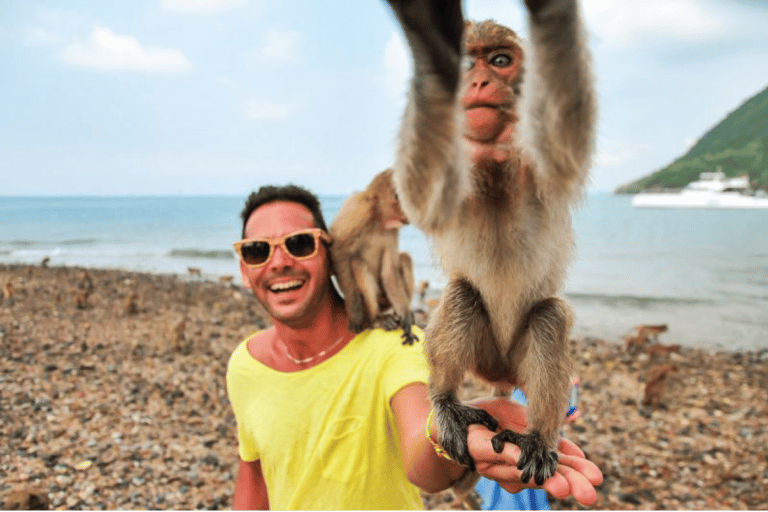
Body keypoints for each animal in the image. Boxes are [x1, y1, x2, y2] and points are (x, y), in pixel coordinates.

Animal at [328, 170, 416, 346]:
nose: (409, 215)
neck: (379, 217)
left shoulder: (392, 230)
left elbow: (389, 271)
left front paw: (406, 317)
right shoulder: (361, 209)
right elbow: (339, 250)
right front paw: (355, 312)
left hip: (385, 298)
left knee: (404, 259)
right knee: (357, 262)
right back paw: (375, 319)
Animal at [388, 0, 596, 488]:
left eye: (500, 61)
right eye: (472, 63)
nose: (479, 81)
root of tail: (498, 369)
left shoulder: (534, 162)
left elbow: (567, 152)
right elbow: (422, 200)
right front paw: (432, 55)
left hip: (514, 359)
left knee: (548, 317)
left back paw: (539, 435)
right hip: (483, 353)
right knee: (464, 293)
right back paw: (447, 401)